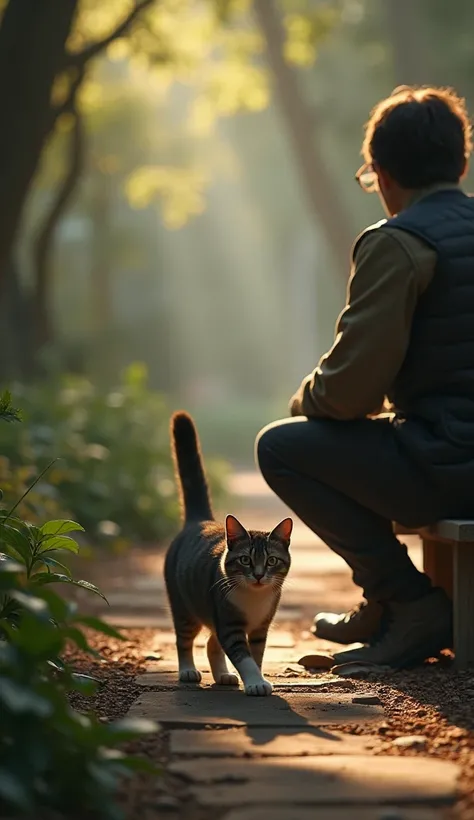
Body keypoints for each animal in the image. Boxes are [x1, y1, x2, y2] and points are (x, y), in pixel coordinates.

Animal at [164, 414, 292, 696]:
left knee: (211, 642)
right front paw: (255, 682)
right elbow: (242, 656)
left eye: (271, 561)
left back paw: (223, 674)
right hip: (184, 605)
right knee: (184, 638)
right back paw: (187, 669)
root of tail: (199, 520)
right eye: (245, 560)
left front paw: (257, 678)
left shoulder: (260, 628)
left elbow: (256, 655)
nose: (258, 575)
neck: (254, 599)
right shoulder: (229, 623)